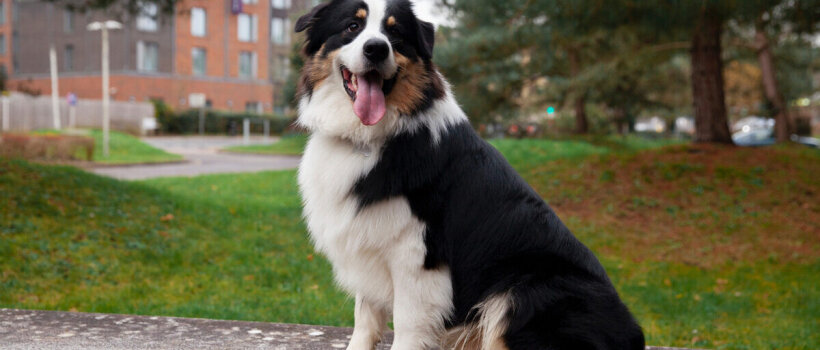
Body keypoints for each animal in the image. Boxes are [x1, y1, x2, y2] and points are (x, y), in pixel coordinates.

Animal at [294, 1, 648, 348]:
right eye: (352, 26)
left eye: (395, 34)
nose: (377, 49)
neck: (369, 137)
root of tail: (634, 335)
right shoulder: (365, 238)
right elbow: (364, 320)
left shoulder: (417, 257)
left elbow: (407, 326)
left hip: (524, 292)